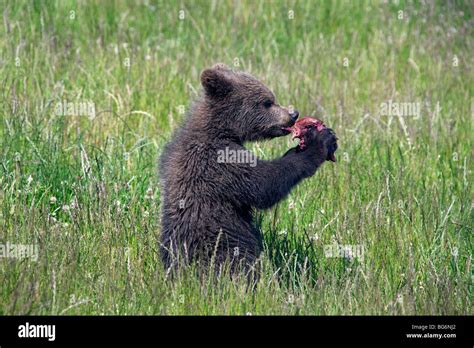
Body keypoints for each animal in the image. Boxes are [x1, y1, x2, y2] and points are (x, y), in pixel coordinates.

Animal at [159, 64, 336, 278]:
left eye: (272, 98)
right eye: (267, 102)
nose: (293, 114)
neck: (221, 130)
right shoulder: (220, 163)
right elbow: (264, 185)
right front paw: (319, 142)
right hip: (220, 245)